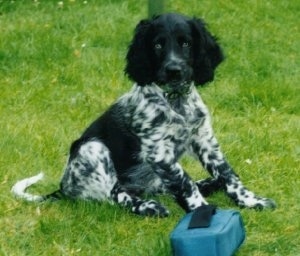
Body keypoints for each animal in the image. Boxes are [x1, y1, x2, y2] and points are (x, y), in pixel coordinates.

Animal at [12, 13, 276, 216]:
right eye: (158, 45)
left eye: (186, 43)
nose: (173, 70)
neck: (175, 100)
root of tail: (63, 189)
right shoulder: (158, 151)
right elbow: (185, 182)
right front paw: (202, 209)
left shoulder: (204, 139)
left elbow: (228, 173)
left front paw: (250, 200)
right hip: (93, 149)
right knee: (115, 194)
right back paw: (148, 206)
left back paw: (208, 183)